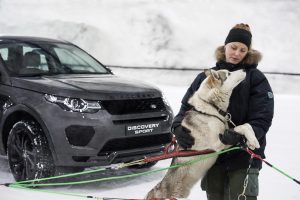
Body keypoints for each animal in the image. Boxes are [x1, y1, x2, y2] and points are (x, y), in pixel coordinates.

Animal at [145, 69, 260, 198]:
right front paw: (252, 141)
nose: (244, 69)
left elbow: (246, 126)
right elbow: (240, 128)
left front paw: (252, 141)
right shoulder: (218, 143)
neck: (212, 107)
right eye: (228, 74)